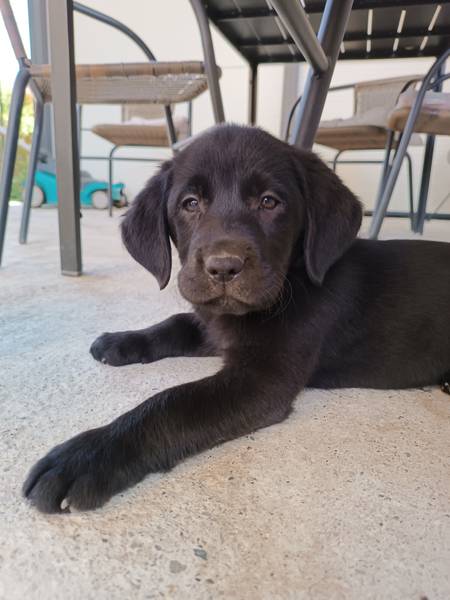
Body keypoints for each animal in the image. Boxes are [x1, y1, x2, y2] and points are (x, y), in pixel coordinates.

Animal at [23, 124, 450, 512]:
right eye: (190, 203)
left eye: (269, 202)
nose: (224, 267)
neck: (292, 278)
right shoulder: (213, 322)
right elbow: (175, 323)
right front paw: (120, 341)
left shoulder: (263, 378)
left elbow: (171, 403)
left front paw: (87, 456)